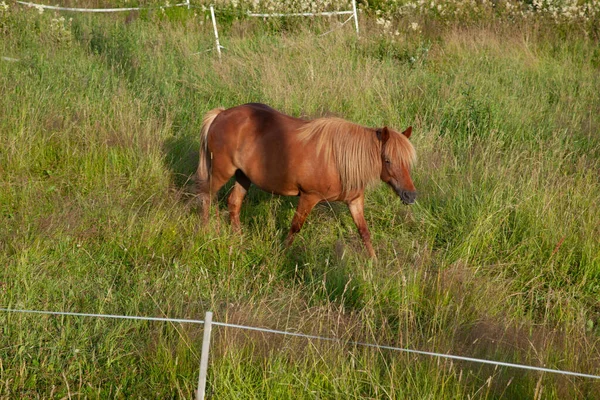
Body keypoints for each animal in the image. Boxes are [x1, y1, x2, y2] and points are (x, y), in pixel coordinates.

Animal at [197, 103, 418, 258]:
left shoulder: (355, 201)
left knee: (234, 203)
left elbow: (364, 232)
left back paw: (239, 238)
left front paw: (374, 262)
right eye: (387, 160)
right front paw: (282, 255)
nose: (411, 195)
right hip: (221, 172)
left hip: (243, 177)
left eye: (407, 162)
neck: (339, 159)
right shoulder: (309, 197)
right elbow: (295, 227)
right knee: (206, 196)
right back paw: (205, 231)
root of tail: (221, 114)